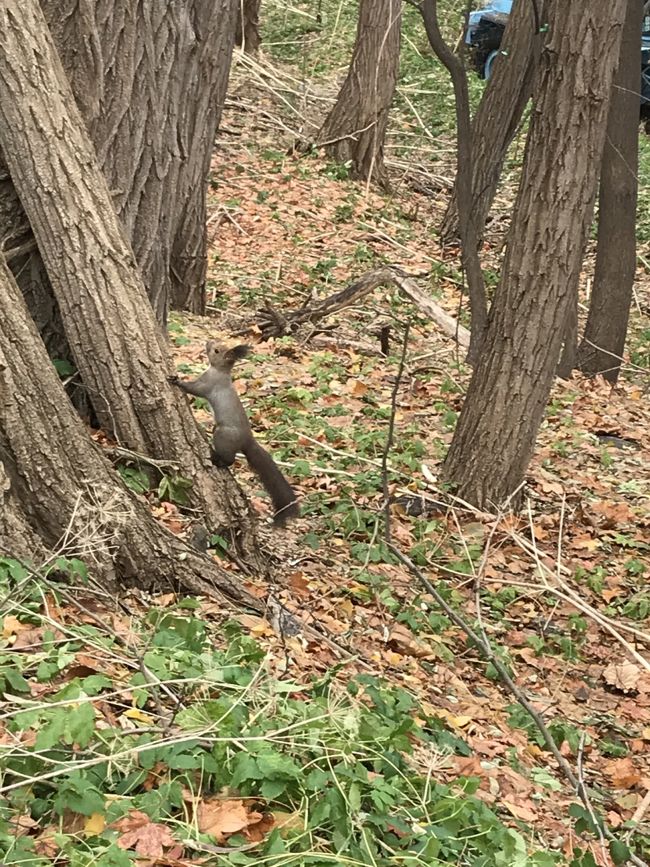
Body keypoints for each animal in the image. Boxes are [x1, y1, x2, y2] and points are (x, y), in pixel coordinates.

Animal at [168, 342, 298, 524]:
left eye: (216, 350)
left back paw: (218, 461)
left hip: (223, 435)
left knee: (230, 459)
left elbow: (195, 389)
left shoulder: (208, 384)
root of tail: (247, 440)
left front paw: (177, 381)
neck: (220, 371)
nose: (208, 342)